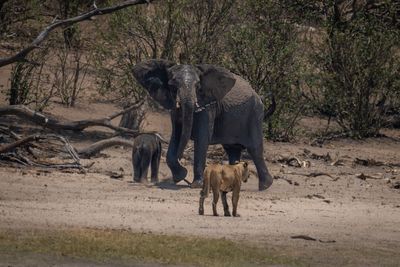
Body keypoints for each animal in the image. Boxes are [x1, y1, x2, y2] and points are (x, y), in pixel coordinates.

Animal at [132, 60, 276, 192]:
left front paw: (195, 185)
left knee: (254, 148)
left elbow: (202, 139)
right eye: (172, 86)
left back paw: (265, 186)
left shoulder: (209, 108)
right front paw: (181, 176)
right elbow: (176, 136)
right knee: (232, 150)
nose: (181, 160)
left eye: (197, 86)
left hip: (254, 114)